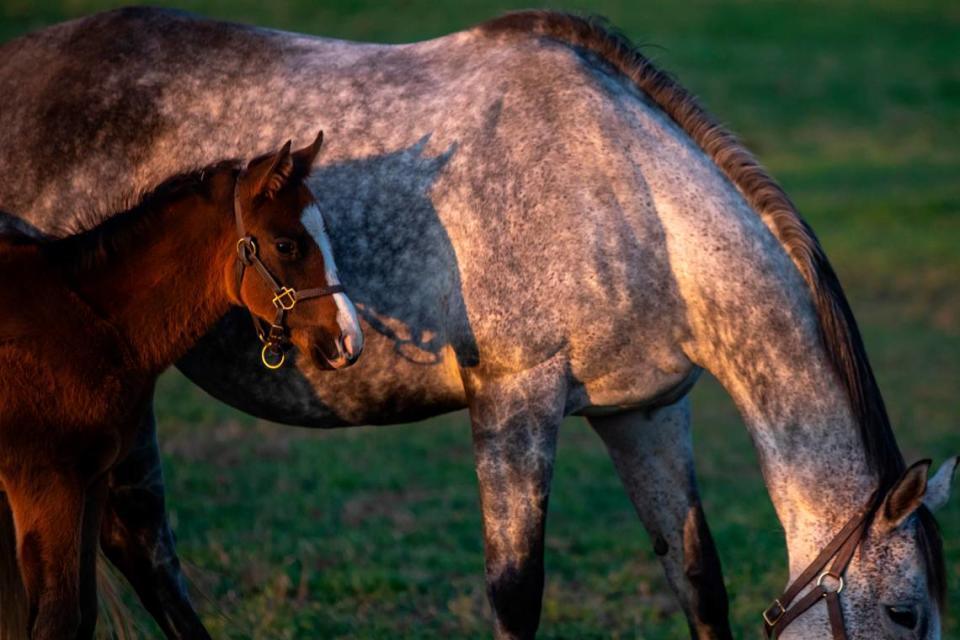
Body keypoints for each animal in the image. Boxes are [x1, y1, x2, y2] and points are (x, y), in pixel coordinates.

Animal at [0, 136, 360, 640]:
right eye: (286, 245)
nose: (349, 340)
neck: (88, 320)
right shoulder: (44, 482)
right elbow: (59, 618)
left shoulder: (91, 479)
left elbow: (83, 611)